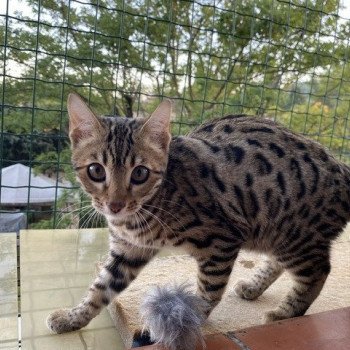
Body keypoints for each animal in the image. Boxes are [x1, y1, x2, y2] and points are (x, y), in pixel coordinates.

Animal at [47, 93, 350, 334]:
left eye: (140, 173)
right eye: (96, 170)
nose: (115, 205)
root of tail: (342, 168)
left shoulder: (221, 241)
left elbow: (209, 291)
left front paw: (187, 323)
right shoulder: (129, 249)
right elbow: (101, 289)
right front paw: (72, 318)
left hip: (293, 235)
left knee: (318, 271)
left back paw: (285, 313)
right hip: (276, 235)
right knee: (282, 263)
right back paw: (254, 287)